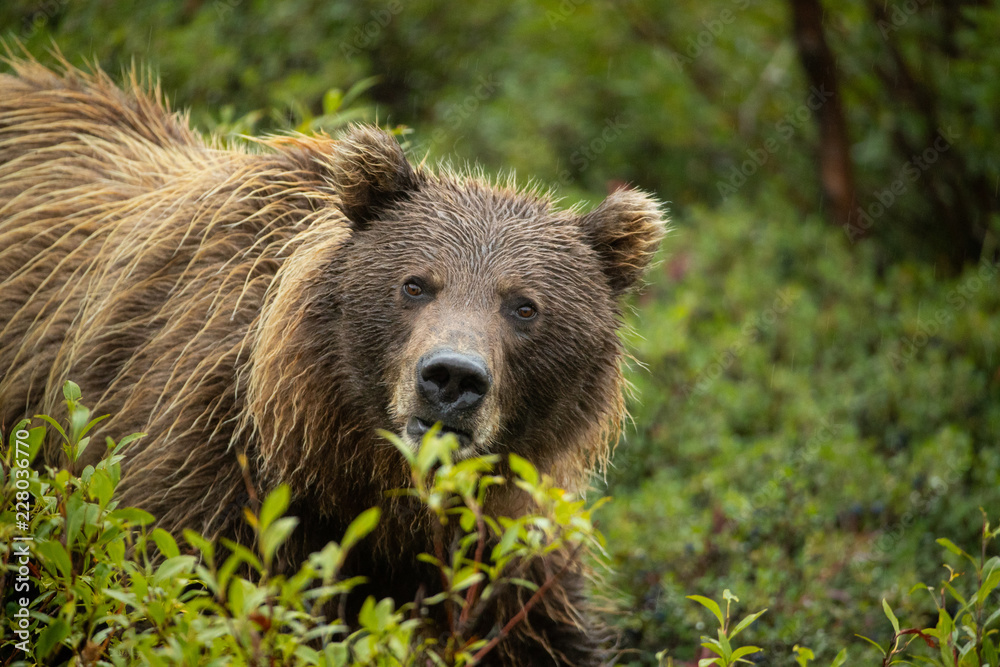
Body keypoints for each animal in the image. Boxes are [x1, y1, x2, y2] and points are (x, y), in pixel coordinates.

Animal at [0, 55, 665, 665]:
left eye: (524, 306)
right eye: (415, 284)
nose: (451, 377)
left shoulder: (507, 536)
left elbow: (542, 626)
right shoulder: (190, 461)